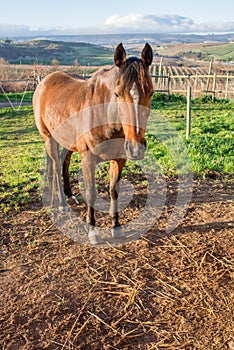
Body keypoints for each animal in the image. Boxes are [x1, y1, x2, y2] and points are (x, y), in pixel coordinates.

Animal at [33, 43, 154, 243]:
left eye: (151, 92)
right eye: (117, 93)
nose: (136, 148)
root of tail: (44, 82)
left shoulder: (119, 158)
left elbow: (114, 191)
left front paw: (116, 226)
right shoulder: (88, 159)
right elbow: (91, 193)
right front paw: (92, 230)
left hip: (67, 141)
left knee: (63, 162)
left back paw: (69, 195)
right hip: (49, 138)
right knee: (56, 167)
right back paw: (62, 204)